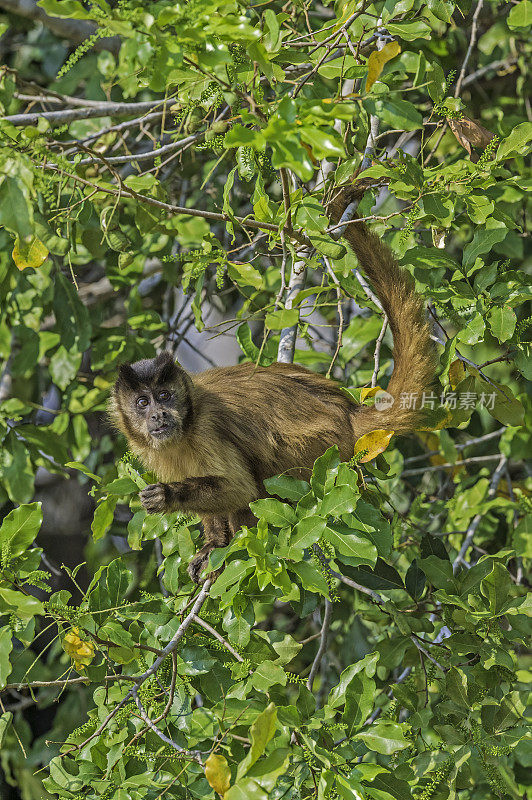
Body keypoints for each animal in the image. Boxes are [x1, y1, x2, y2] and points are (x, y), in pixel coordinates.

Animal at [109, 191, 436, 584]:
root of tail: (347, 413)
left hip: (320, 449)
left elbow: (241, 488)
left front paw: (171, 498)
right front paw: (214, 542)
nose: (158, 414)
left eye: (164, 395)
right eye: (142, 402)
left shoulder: (206, 428)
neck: (185, 428)